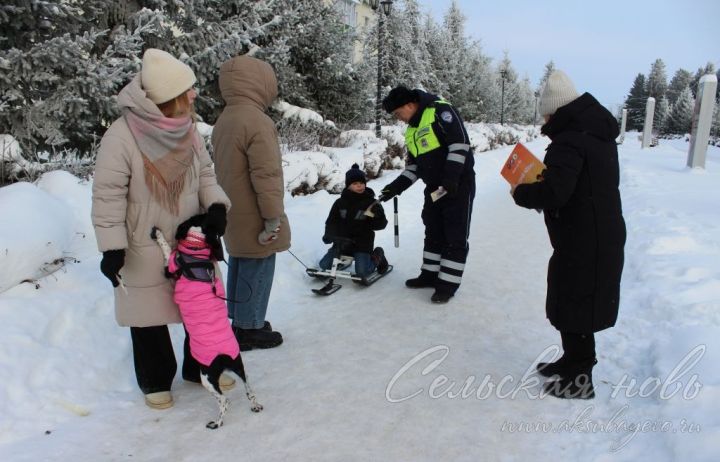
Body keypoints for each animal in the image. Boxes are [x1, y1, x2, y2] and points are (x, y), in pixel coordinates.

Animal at [151, 217, 262, 430]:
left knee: (225, 401)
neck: (196, 246)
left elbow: (167, 249)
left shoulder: (170, 265)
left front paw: (158, 234)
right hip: (239, 366)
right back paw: (255, 406)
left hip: (208, 378)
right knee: (249, 389)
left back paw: (216, 423)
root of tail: (225, 357)